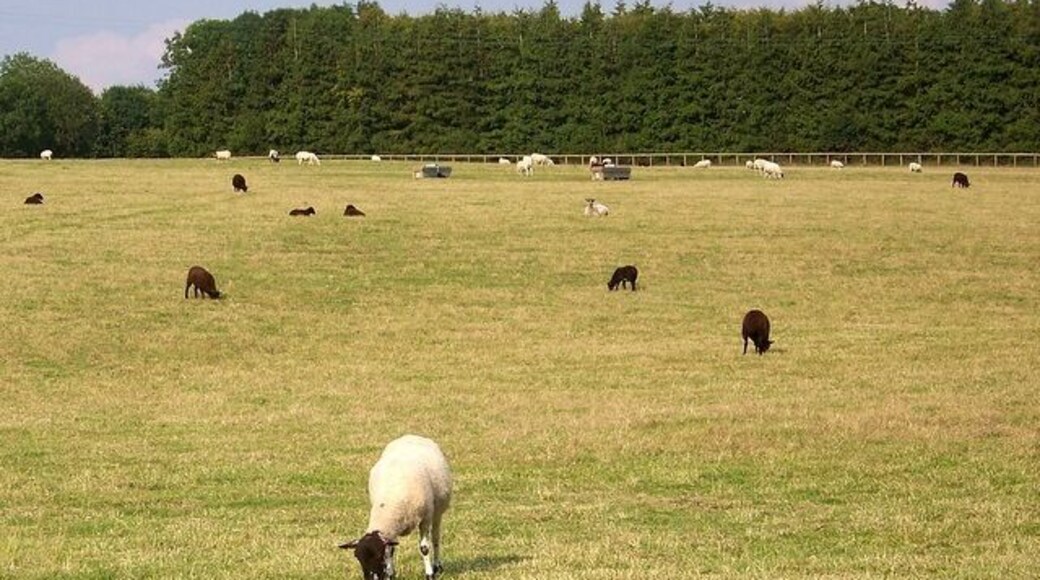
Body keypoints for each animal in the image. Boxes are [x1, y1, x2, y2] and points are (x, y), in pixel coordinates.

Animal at [340, 434, 453, 580]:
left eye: (378, 555)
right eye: (357, 557)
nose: (371, 579)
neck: (389, 499)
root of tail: (411, 435)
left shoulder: (425, 517)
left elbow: (425, 548)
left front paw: (429, 574)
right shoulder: (392, 529)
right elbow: (392, 549)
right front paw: (391, 574)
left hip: (437, 510)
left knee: (435, 538)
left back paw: (437, 566)